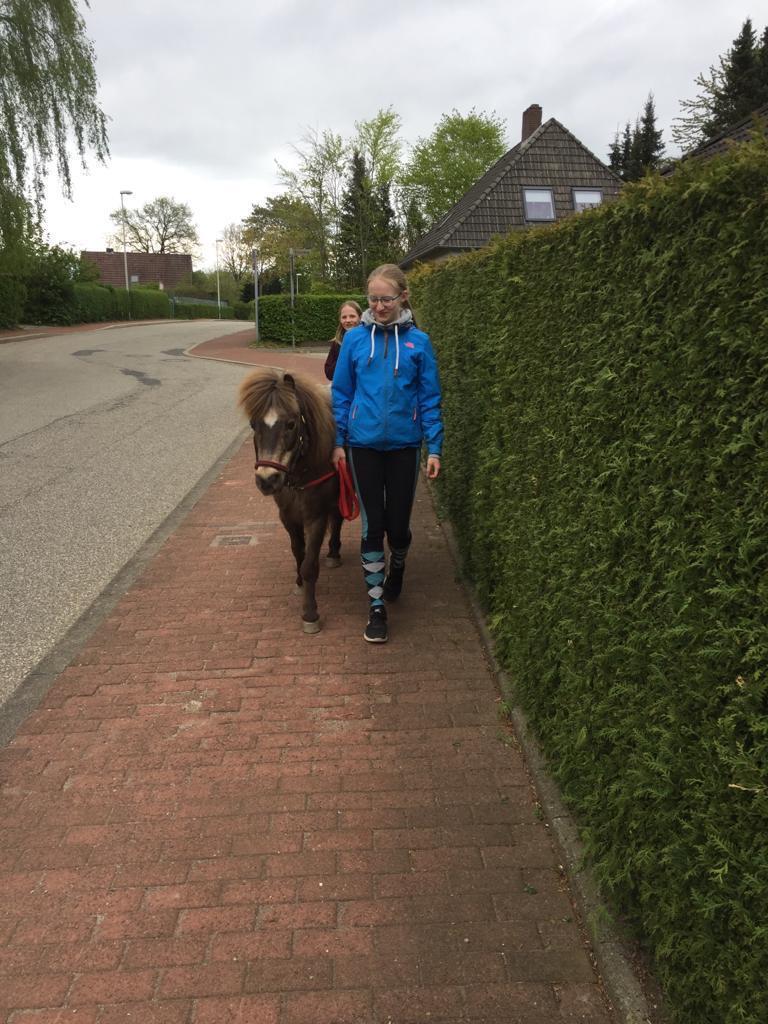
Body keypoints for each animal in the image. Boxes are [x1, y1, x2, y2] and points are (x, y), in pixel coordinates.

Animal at [238, 367, 343, 634]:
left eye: (291, 424)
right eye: (253, 424)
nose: (267, 479)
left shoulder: (315, 517)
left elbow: (310, 564)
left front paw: (310, 613)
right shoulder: (288, 516)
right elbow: (298, 552)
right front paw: (299, 584)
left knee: (337, 520)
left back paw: (334, 553)